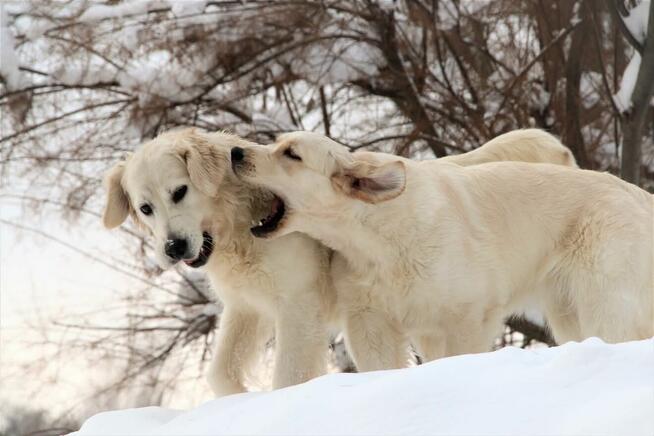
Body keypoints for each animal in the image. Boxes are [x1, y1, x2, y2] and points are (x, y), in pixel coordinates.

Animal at [102, 127, 580, 392]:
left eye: (179, 192)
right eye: (145, 208)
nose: (173, 248)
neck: (238, 225)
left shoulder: (299, 306)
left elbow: (289, 373)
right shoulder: (247, 307)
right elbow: (221, 373)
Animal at [233, 130, 652, 372]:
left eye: (291, 154)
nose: (236, 152)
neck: (378, 238)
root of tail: (637, 195)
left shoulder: (465, 318)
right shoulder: (373, 321)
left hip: (603, 300)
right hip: (567, 314)